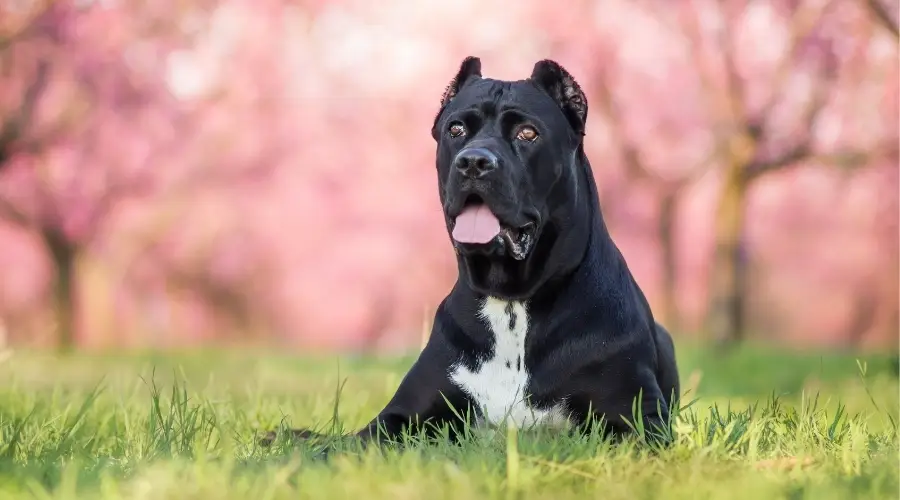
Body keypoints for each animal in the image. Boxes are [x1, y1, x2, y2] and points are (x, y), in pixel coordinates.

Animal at [268, 57, 684, 450]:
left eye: (527, 133)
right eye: (456, 130)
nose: (473, 161)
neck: (513, 302)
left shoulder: (638, 420)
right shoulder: (400, 416)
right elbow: (347, 447)